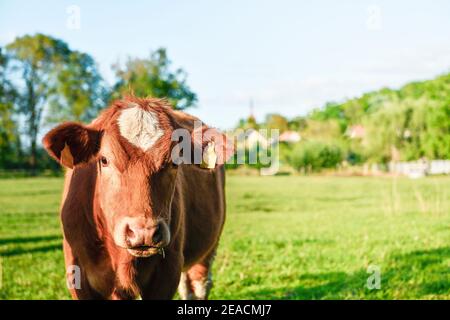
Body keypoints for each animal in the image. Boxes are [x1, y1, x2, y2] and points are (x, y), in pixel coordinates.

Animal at [42, 97, 234, 300]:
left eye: (175, 162)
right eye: (104, 160)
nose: (144, 232)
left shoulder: (168, 269)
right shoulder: (77, 273)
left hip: (209, 248)